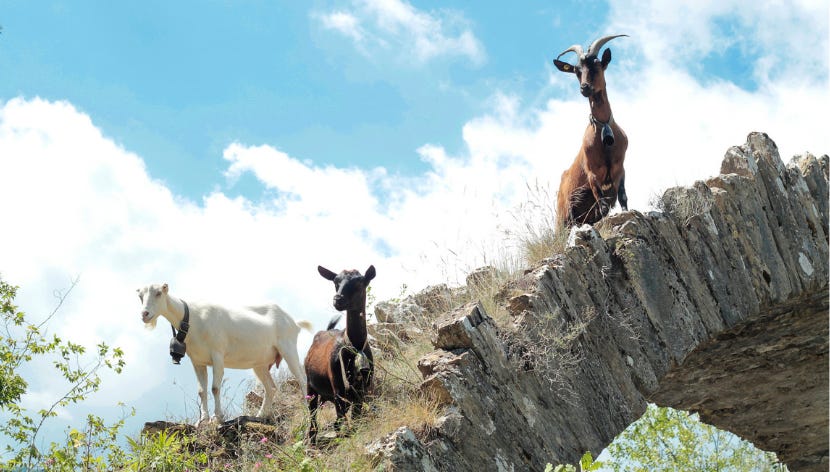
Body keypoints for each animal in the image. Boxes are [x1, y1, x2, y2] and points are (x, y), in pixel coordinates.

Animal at [138, 282, 314, 426]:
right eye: (140, 296)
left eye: (159, 293)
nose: (144, 314)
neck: (193, 319)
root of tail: (294, 322)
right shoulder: (198, 362)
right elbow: (201, 391)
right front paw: (202, 420)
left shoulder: (217, 355)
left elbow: (215, 388)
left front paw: (217, 417)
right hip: (260, 364)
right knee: (271, 388)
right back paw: (261, 415)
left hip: (288, 348)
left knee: (301, 378)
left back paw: (308, 410)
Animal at [304, 264, 376, 444]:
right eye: (336, 282)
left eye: (359, 282)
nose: (338, 299)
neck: (354, 346)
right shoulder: (338, 389)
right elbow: (341, 421)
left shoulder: (362, 390)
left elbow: (355, 418)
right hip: (311, 386)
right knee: (313, 416)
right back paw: (312, 441)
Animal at [552, 33, 632, 227]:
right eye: (576, 71)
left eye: (597, 63)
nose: (584, 88)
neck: (603, 127)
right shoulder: (592, 174)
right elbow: (602, 205)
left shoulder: (620, 168)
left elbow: (623, 197)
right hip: (563, 216)